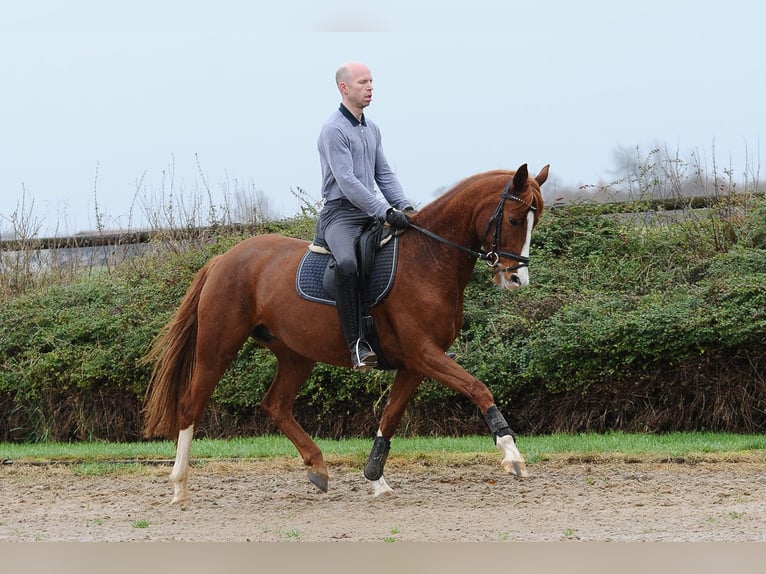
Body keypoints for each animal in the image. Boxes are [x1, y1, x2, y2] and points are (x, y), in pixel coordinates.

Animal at [144, 162, 548, 504]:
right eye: (514, 219)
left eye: (536, 219)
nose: (517, 279)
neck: (429, 258)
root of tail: (222, 259)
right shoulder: (423, 353)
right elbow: (478, 387)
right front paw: (512, 453)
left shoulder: (414, 364)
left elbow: (390, 416)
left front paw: (375, 477)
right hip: (218, 346)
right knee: (191, 405)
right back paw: (179, 487)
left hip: (296, 355)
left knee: (275, 404)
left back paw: (318, 467)